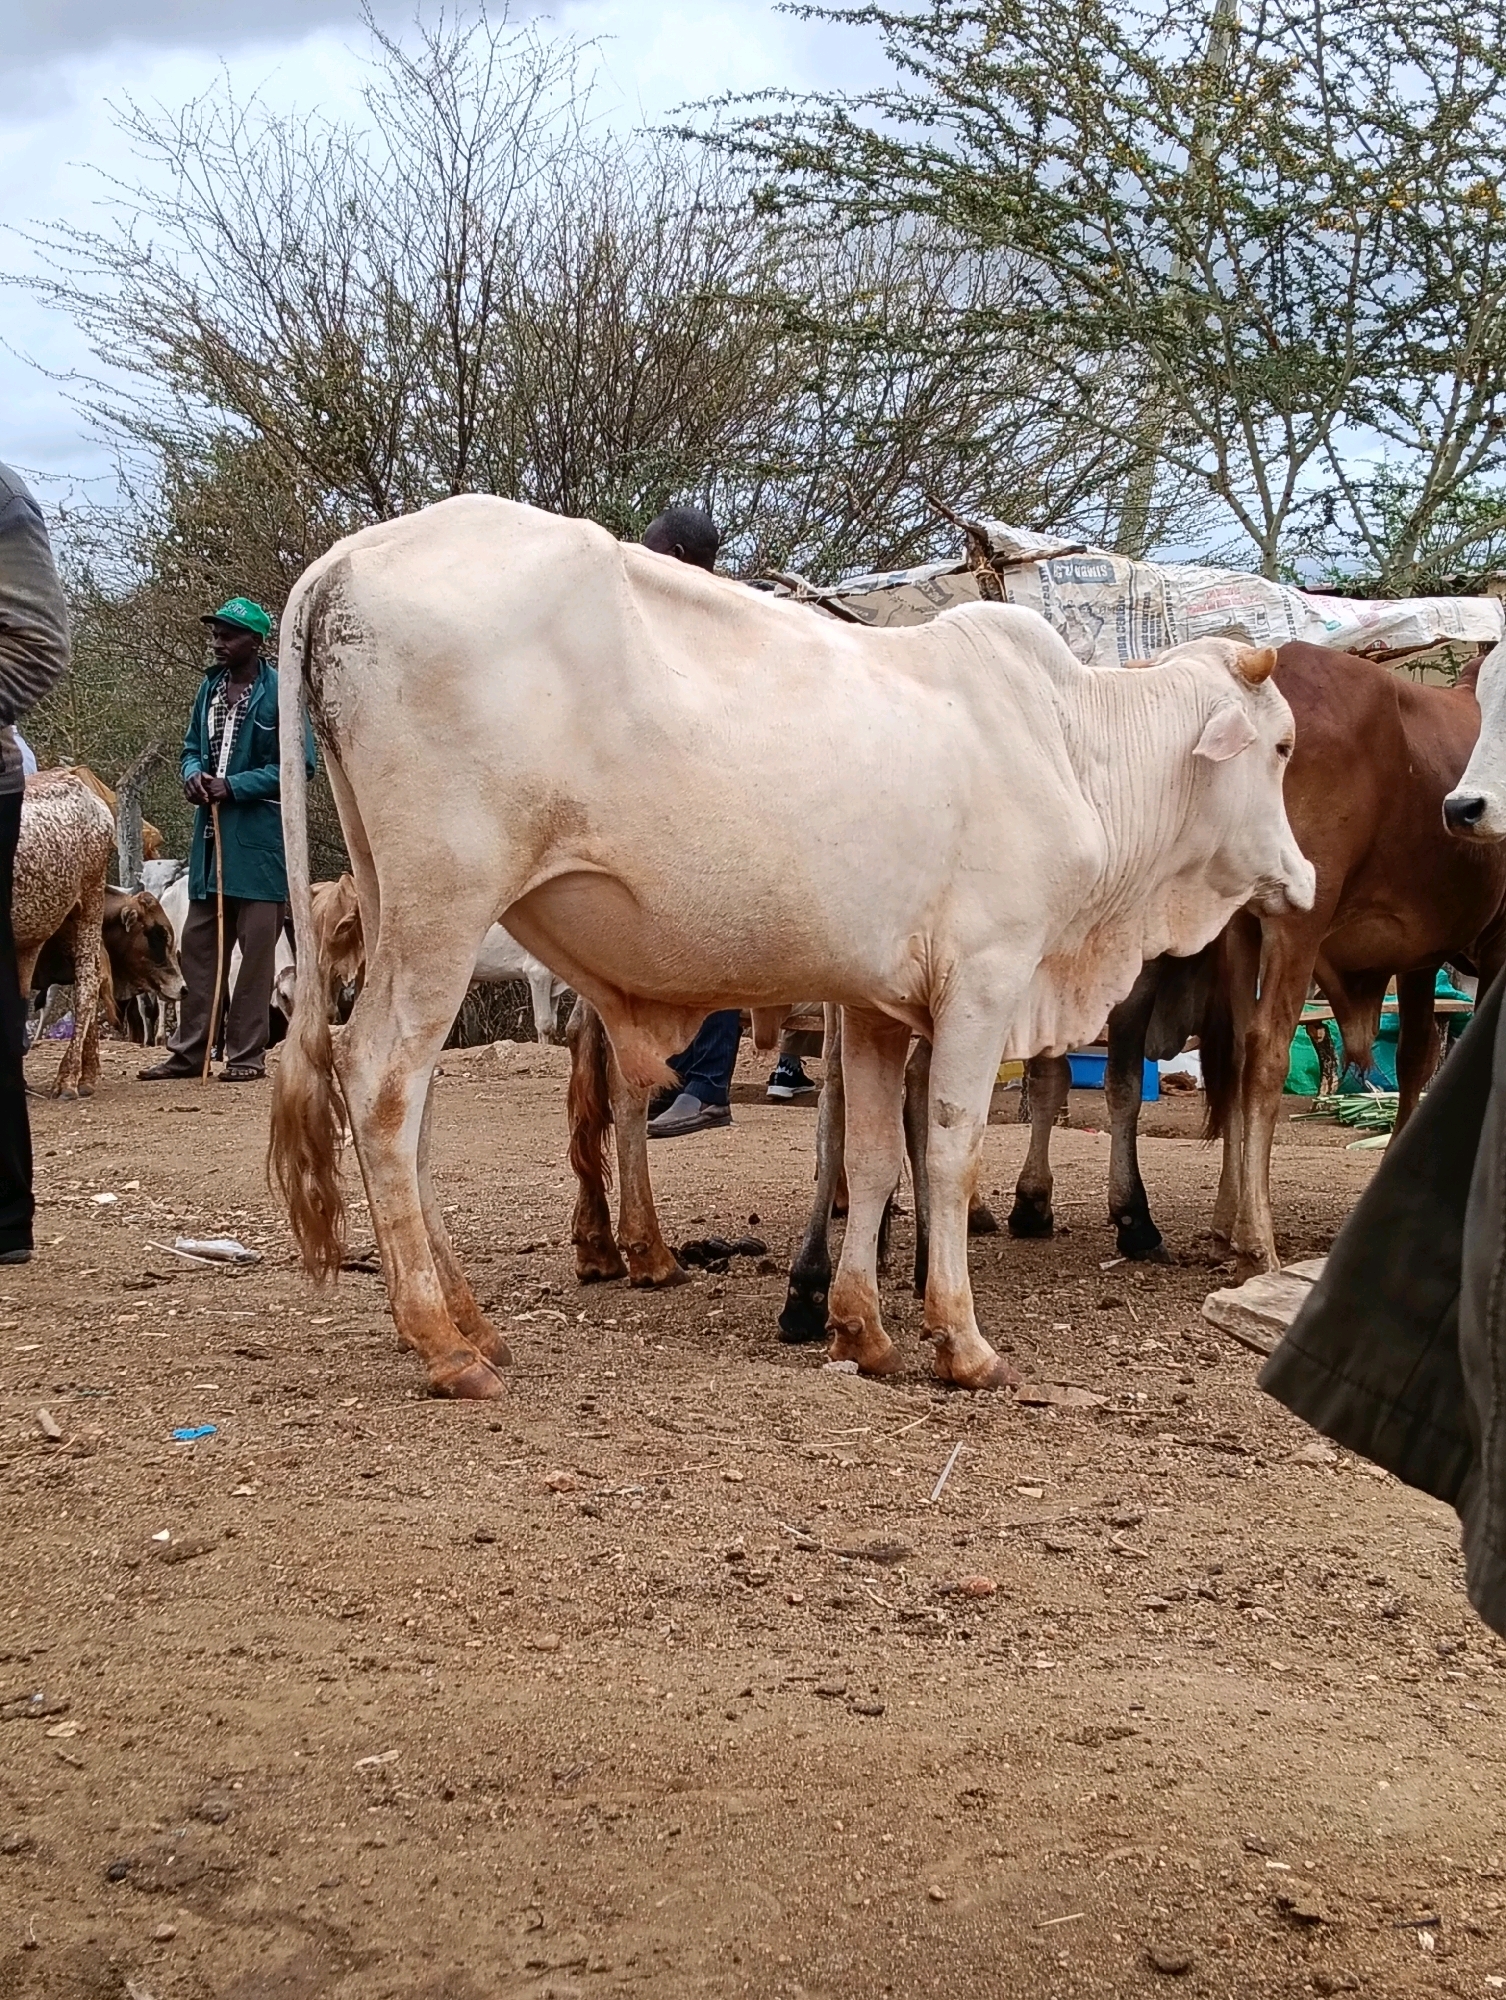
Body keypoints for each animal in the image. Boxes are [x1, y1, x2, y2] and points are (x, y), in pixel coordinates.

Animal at [13, 772, 115, 1098]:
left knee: (87, 983)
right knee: (95, 975)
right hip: (65, 919)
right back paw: (88, 1074)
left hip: (91, 900)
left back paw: (68, 1078)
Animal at [266, 496, 1312, 1400]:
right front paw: (962, 1342)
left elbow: (873, 1160)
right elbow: (949, 1151)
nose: (1305, 877)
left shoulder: (879, 1006)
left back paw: (475, 1322)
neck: (1076, 751)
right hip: (444, 909)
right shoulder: (987, 980)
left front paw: (862, 1326)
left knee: (415, 1105)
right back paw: (442, 1343)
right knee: (381, 1080)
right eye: (1285, 748)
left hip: (402, 906)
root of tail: (344, 560)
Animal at [1006, 642, 1506, 1274]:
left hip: (1237, 928)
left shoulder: (1419, 953)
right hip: (1292, 922)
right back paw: (1253, 1238)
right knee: (1261, 1052)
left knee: (1218, 1058)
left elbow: (1417, 1057)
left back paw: (1217, 1223)